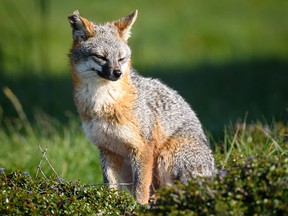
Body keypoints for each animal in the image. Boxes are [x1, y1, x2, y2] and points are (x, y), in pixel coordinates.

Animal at [68, 10, 215, 205]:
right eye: (101, 57)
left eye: (121, 58)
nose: (117, 73)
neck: (102, 103)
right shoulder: (106, 149)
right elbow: (110, 186)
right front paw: (110, 204)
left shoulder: (143, 147)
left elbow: (141, 187)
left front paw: (139, 207)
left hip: (166, 155)